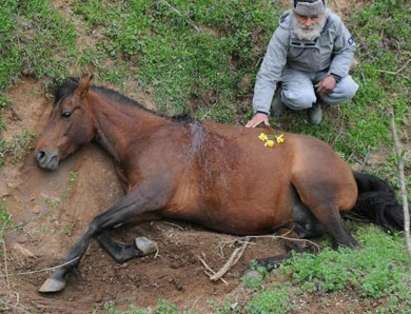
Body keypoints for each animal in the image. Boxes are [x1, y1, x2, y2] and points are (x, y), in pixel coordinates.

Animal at [33, 73, 404, 292]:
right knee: (308, 245)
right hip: (297, 222)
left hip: (318, 196)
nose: (41, 155)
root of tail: (348, 171)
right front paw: (136, 247)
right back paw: (262, 263)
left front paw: (58, 276)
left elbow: (95, 222)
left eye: (66, 113)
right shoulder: (147, 206)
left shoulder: (146, 197)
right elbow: (104, 228)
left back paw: (258, 267)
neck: (148, 138)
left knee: (346, 247)